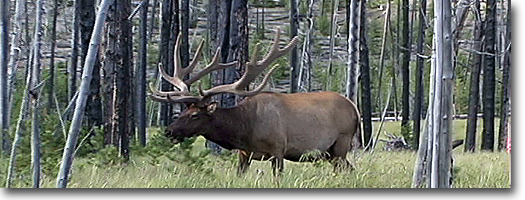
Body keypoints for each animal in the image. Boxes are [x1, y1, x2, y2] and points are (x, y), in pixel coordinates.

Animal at [147, 28, 360, 174]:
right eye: (182, 111)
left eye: (194, 115)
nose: (169, 131)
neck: (245, 130)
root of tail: (355, 110)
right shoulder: (244, 154)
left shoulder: (278, 150)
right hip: (330, 153)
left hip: (341, 143)